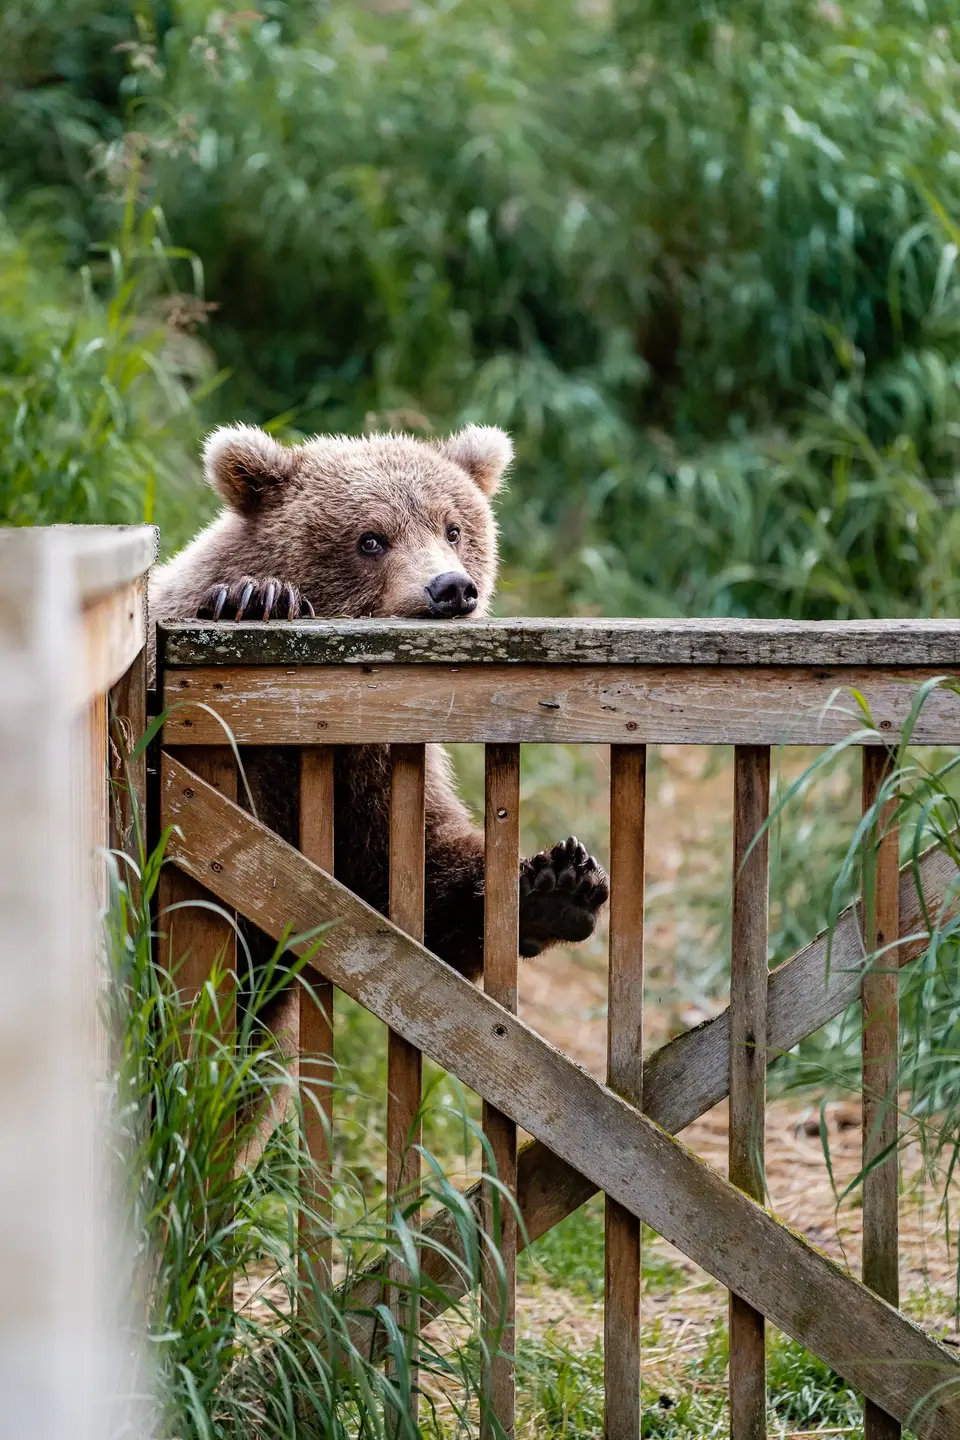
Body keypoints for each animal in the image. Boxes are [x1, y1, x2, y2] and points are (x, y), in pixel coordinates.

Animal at [149, 423, 609, 980]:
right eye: (370, 539)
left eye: (453, 529)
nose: (452, 588)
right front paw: (258, 598)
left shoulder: (374, 764)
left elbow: (417, 870)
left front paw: (560, 883)